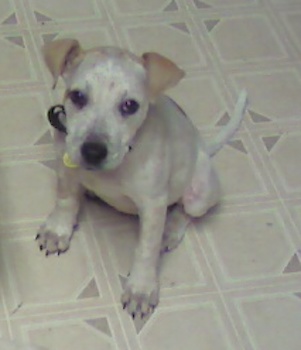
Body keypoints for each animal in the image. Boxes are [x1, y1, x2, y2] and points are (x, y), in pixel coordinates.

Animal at [35, 39, 246, 318]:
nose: (92, 151)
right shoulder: (66, 166)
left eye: (130, 105)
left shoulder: (153, 205)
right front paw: (57, 230)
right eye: (77, 96)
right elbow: (65, 200)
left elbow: (146, 249)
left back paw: (170, 229)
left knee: (186, 210)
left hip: (200, 193)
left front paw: (141, 289)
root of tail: (203, 146)